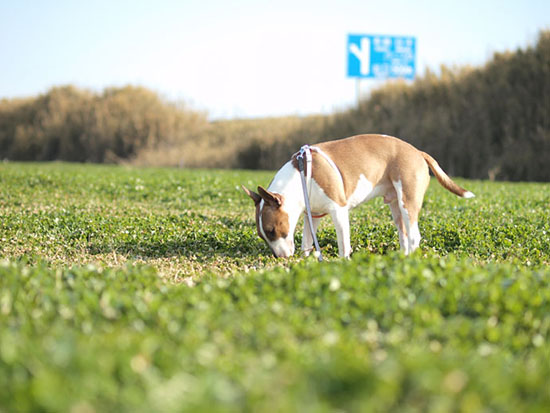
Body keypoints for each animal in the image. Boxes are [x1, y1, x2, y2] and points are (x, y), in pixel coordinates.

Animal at [244, 134, 476, 258]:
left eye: (272, 230)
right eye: (263, 235)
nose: (278, 257)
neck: (302, 175)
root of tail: (418, 152)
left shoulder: (338, 210)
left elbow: (343, 243)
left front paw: (342, 261)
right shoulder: (314, 215)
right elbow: (307, 241)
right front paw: (306, 259)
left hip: (407, 202)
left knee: (414, 236)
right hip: (396, 207)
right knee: (404, 235)